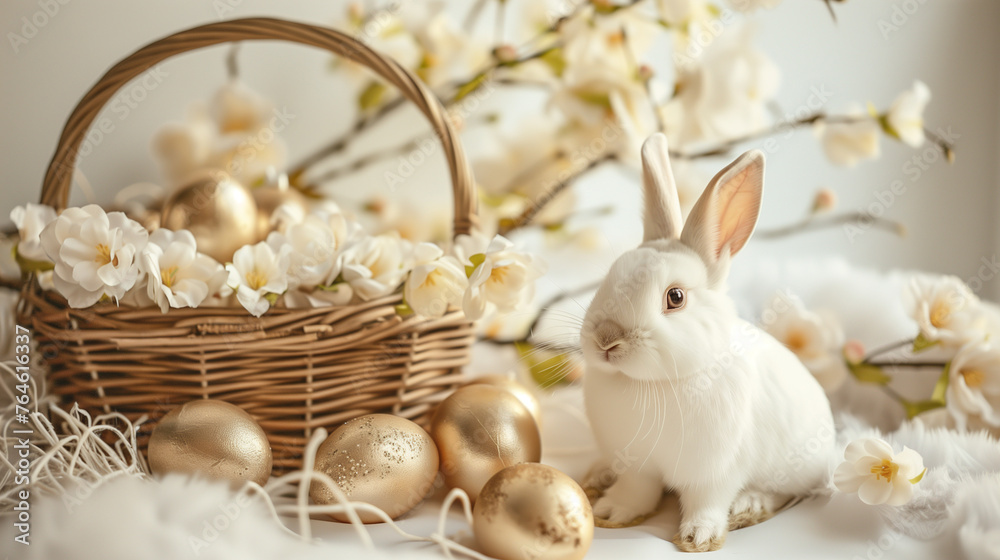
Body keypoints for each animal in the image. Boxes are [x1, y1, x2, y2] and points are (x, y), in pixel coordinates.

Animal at [580, 133, 836, 552]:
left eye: (675, 297)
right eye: (609, 277)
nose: (606, 339)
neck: (655, 384)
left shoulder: (716, 471)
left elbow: (707, 501)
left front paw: (698, 537)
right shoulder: (637, 466)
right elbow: (636, 492)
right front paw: (611, 513)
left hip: (795, 467)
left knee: (786, 493)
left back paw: (750, 506)